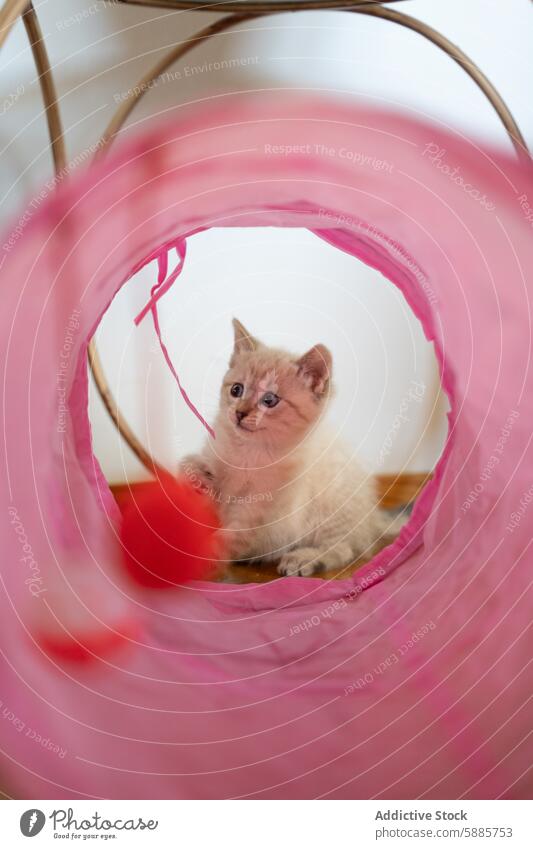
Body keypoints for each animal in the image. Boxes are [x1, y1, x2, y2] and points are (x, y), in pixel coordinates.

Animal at [181, 318, 392, 576]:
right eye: (236, 390)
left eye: (269, 400)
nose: (239, 413)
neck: (248, 453)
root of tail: (372, 518)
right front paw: (196, 472)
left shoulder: (258, 510)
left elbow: (232, 536)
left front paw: (205, 556)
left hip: (332, 504)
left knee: (343, 548)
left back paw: (304, 559)